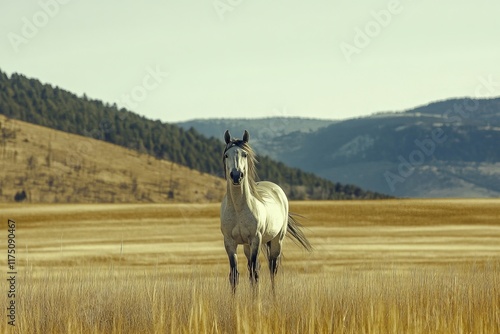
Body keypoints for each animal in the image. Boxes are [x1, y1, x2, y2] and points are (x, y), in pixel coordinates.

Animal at [220, 129, 310, 290]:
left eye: (244, 154)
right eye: (226, 155)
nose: (236, 176)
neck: (238, 209)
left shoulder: (256, 239)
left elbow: (255, 275)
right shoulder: (229, 242)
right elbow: (235, 275)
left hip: (276, 241)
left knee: (272, 270)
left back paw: (273, 294)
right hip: (247, 246)